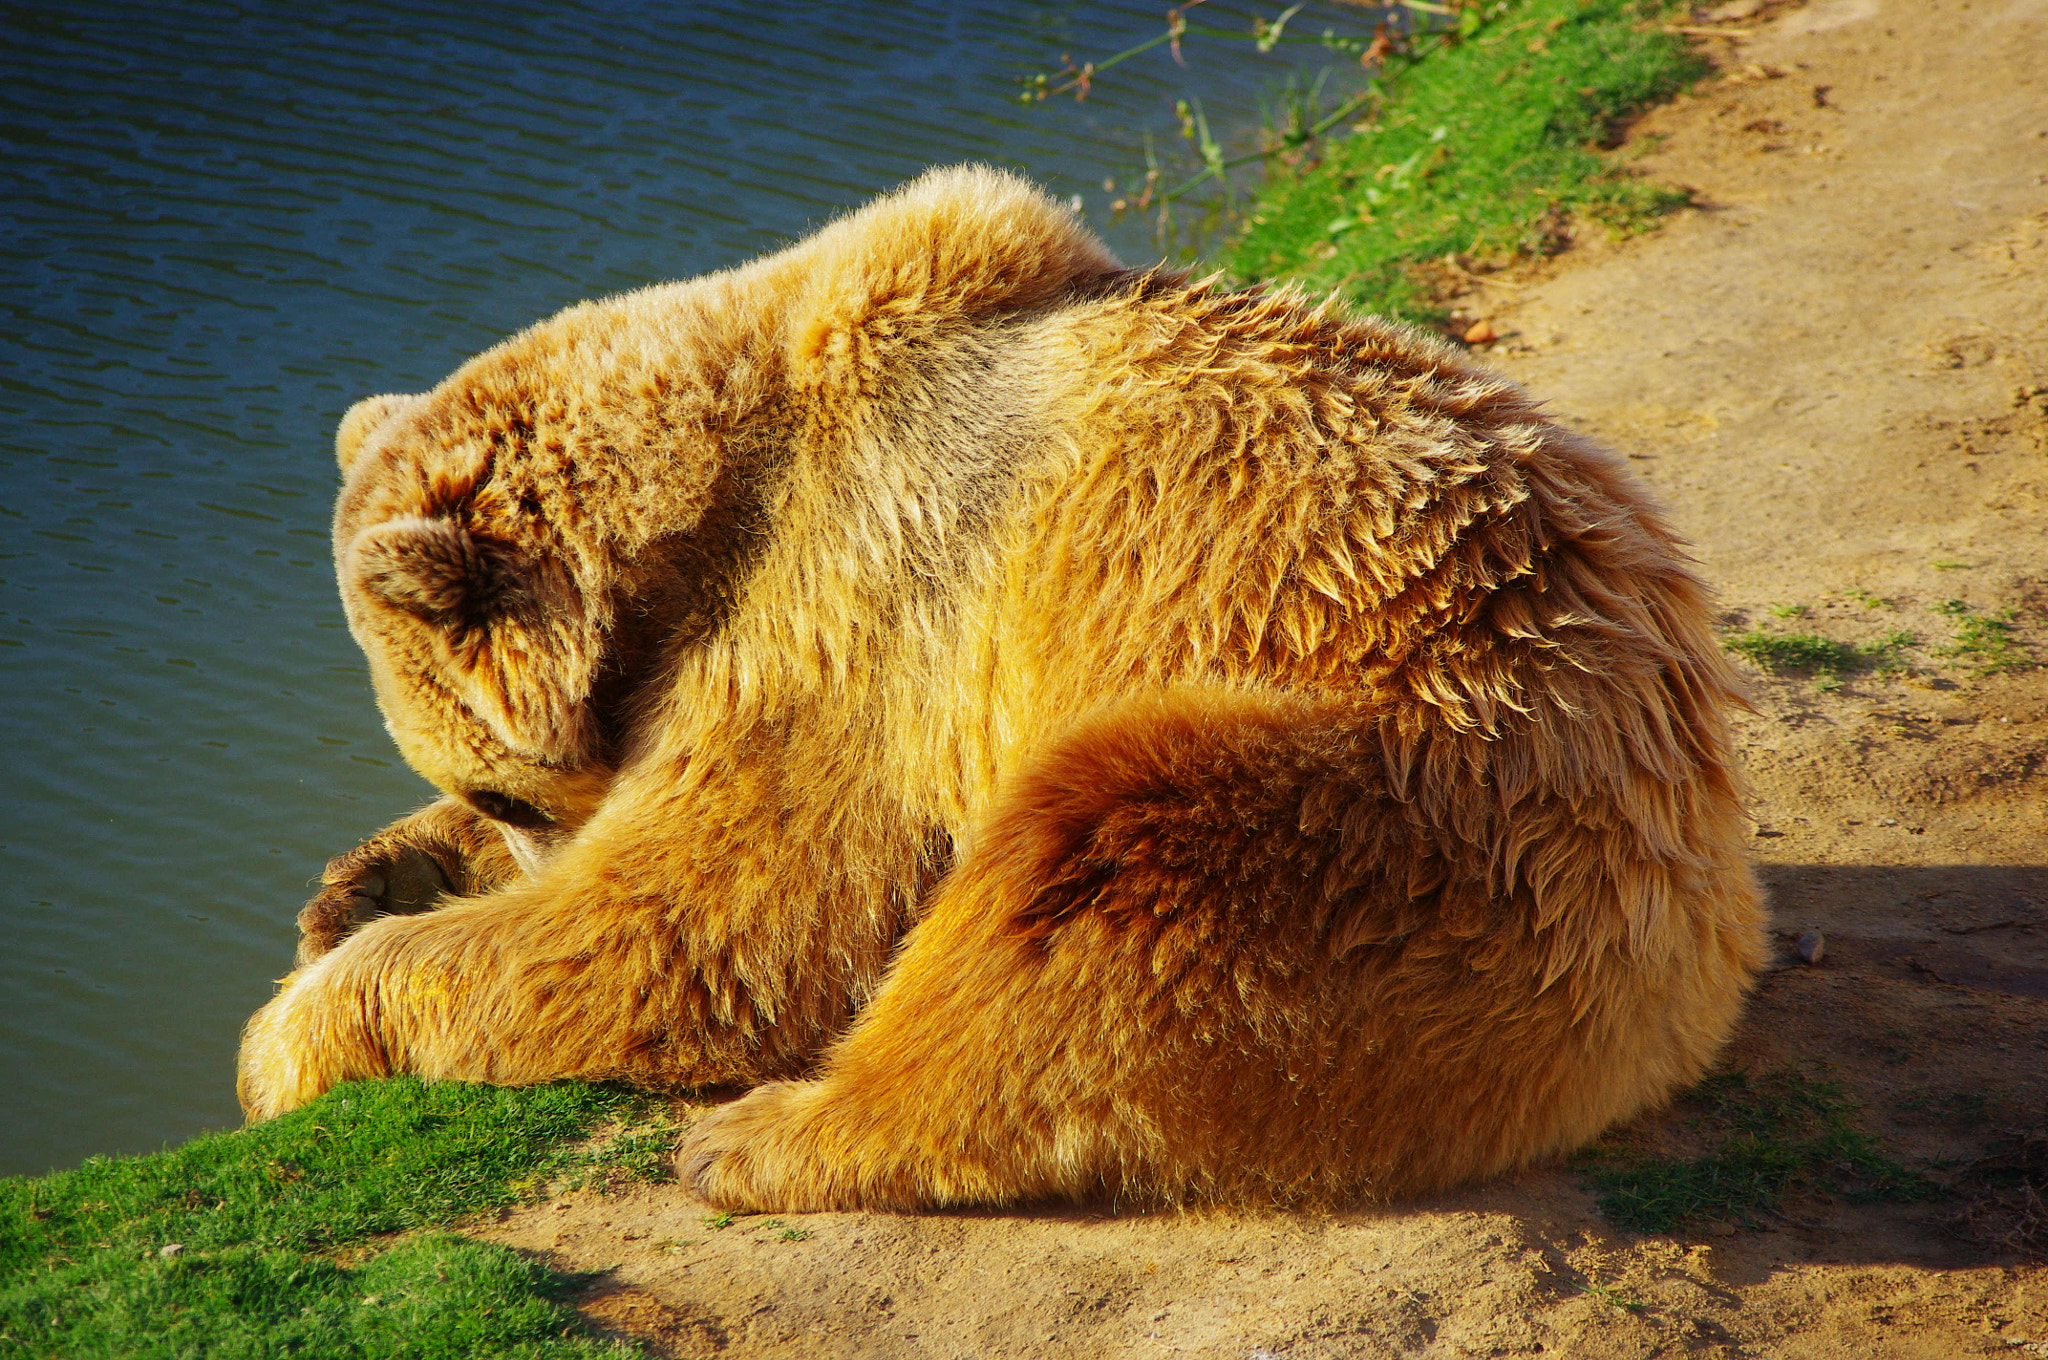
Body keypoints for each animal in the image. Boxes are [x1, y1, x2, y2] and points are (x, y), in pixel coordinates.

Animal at [237, 164, 1765, 1212]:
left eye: (499, 780)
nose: (514, 835)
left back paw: (770, 1133)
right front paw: (359, 884)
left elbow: (711, 916)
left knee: (1088, 877)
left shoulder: (861, 590)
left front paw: (287, 1040)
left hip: (1424, 814)